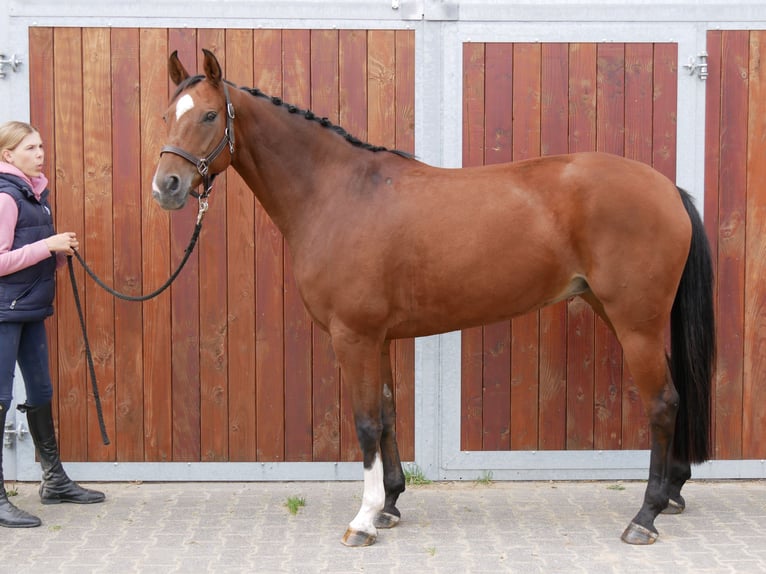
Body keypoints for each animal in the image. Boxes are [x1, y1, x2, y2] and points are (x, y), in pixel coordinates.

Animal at [153, 50, 716, 548]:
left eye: (209, 115)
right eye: (166, 115)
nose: (167, 186)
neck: (338, 194)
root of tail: (667, 188)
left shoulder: (353, 337)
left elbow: (365, 423)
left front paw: (363, 520)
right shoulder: (376, 338)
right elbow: (386, 414)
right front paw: (390, 504)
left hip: (635, 321)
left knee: (663, 402)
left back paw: (644, 517)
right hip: (621, 312)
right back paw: (671, 493)